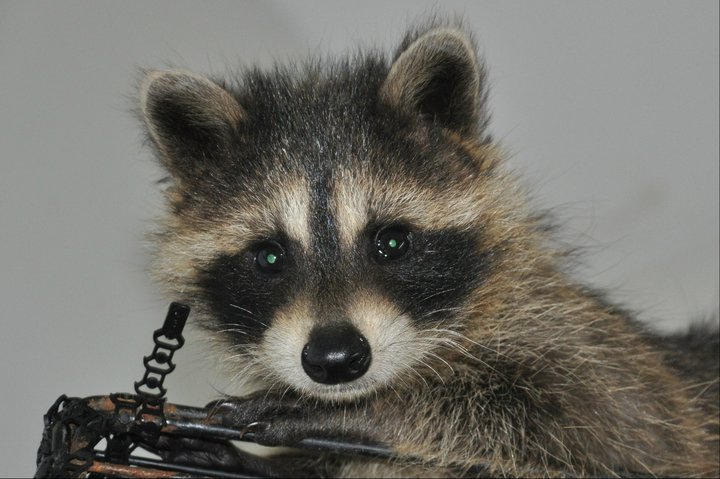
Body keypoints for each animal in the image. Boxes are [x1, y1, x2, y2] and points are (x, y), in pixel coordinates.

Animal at [139, 21, 719, 477]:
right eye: (269, 257)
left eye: (392, 242)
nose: (335, 359)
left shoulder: (597, 358)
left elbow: (607, 435)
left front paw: (371, 414)